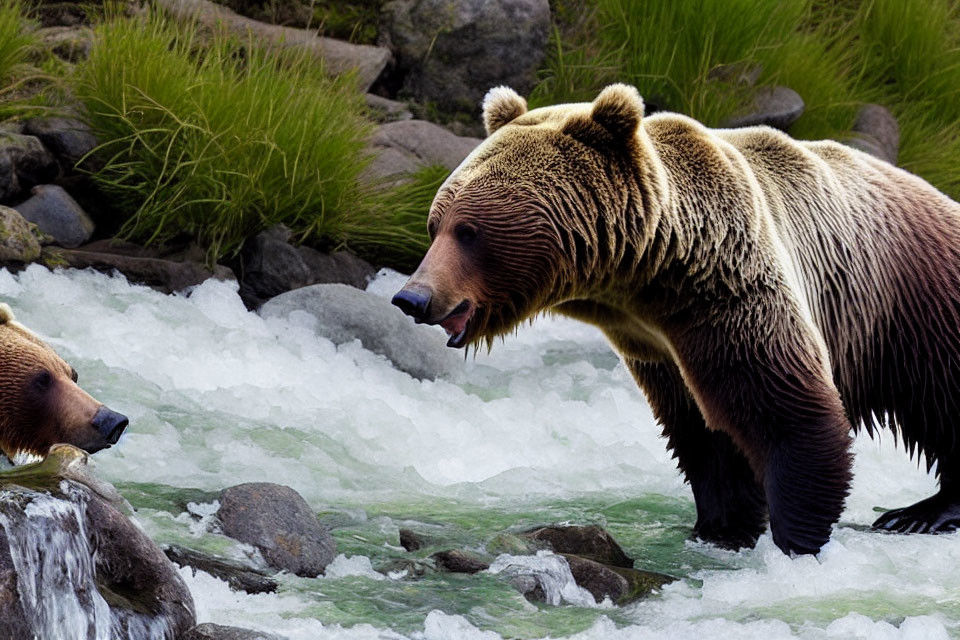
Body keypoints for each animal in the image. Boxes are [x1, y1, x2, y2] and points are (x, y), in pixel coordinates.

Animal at [394, 84, 960, 556]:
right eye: (435, 224)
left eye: (469, 231)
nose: (412, 297)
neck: (650, 274)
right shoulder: (656, 344)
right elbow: (703, 435)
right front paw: (722, 527)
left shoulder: (732, 294)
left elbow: (787, 411)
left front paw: (797, 539)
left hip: (918, 301)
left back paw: (919, 514)